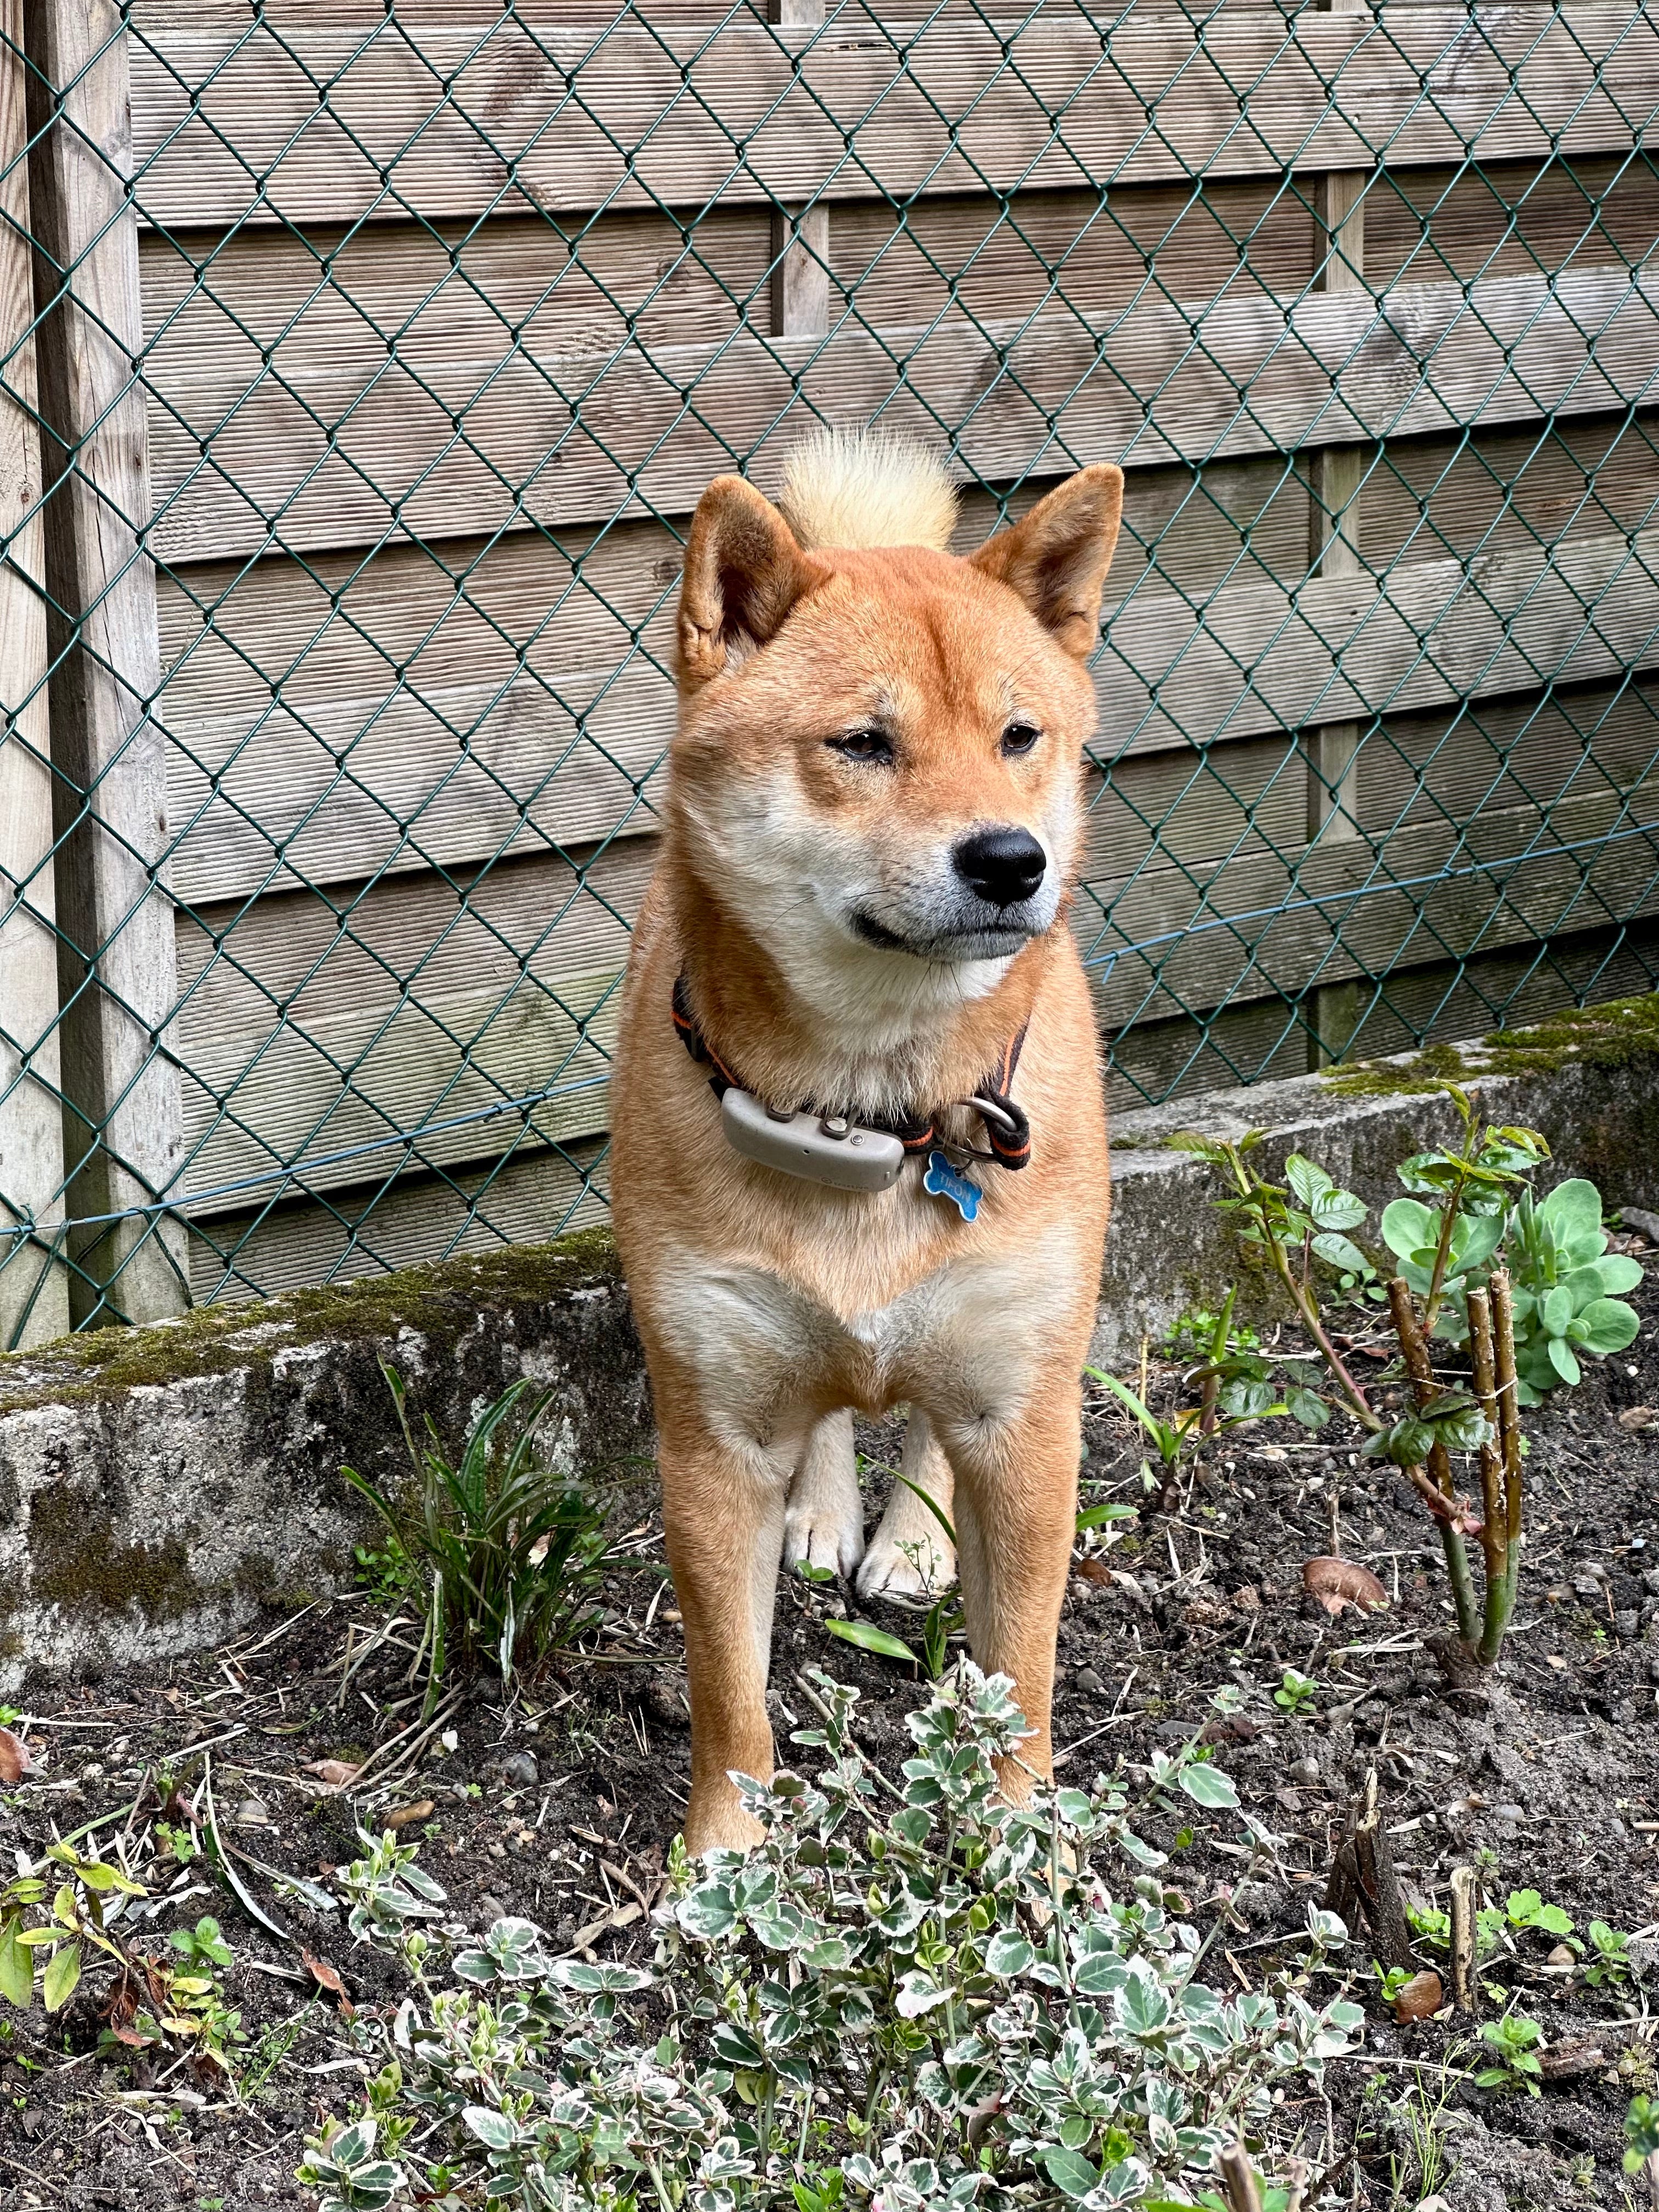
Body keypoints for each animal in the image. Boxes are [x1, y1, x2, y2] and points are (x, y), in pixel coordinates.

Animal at [614, 431, 1132, 1849]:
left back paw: (907, 1535)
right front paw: (723, 1855)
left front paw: (1020, 1844)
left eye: (1019, 738)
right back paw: (829, 1510)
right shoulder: (711, 1436)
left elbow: (1021, 1669)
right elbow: (728, 1687)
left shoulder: (1028, 1419)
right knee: (842, 1399)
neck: (870, 1109)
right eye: (862, 743)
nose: (1010, 860)